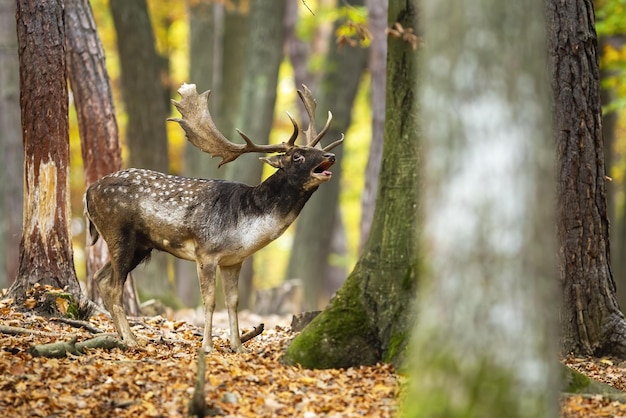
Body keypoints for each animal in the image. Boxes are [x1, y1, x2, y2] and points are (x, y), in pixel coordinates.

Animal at [83, 83, 342, 352]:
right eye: (297, 156)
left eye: (317, 149)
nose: (330, 157)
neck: (246, 226)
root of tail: (88, 191)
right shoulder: (205, 252)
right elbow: (209, 300)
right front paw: (207, 345)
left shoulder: (234, 260)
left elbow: (233, 301)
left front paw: (237, 346)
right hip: (118, 232)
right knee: (114, 286)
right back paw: (131, 340)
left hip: (140, 246)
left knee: (101, 279)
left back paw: (122, 336)